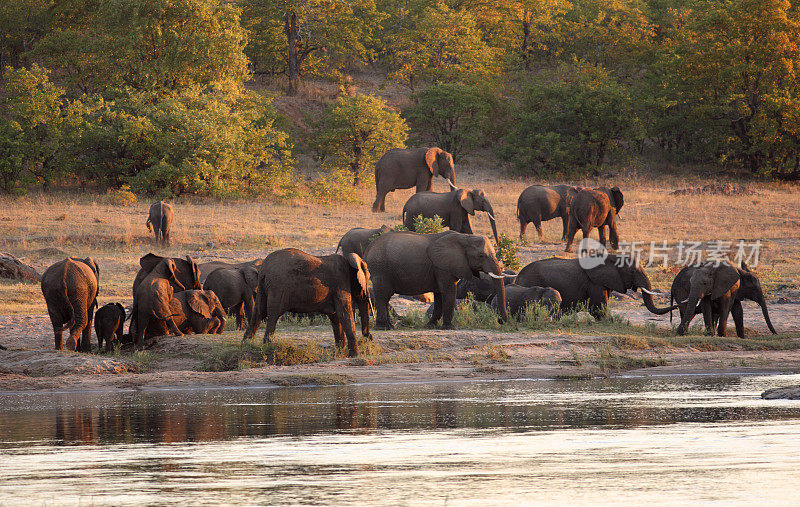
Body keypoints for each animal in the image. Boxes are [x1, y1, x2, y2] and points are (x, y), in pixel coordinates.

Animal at [244, 250, 372, 358]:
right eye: (367, 279)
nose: (368, 338)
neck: (349, 260)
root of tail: (263, 269)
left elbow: (335, 317)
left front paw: (339, 354)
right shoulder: (340, 283)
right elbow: (344, 313)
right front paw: (354, 356)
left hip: (262, 286)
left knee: (258, 313)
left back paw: (246, 345)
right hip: (277, 287)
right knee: (273, 315)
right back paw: (268, 347)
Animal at [366, 231, 510, 334]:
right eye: (481, 256)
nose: (502, 322)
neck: (465, 237)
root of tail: (370, 247)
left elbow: (440, 294)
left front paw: (430, 326)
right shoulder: (443, 267)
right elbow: (448, 291)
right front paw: (450, 328)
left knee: (385, 297)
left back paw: (390, 327)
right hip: (380, 269)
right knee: (383, 295)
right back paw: (384, 328)